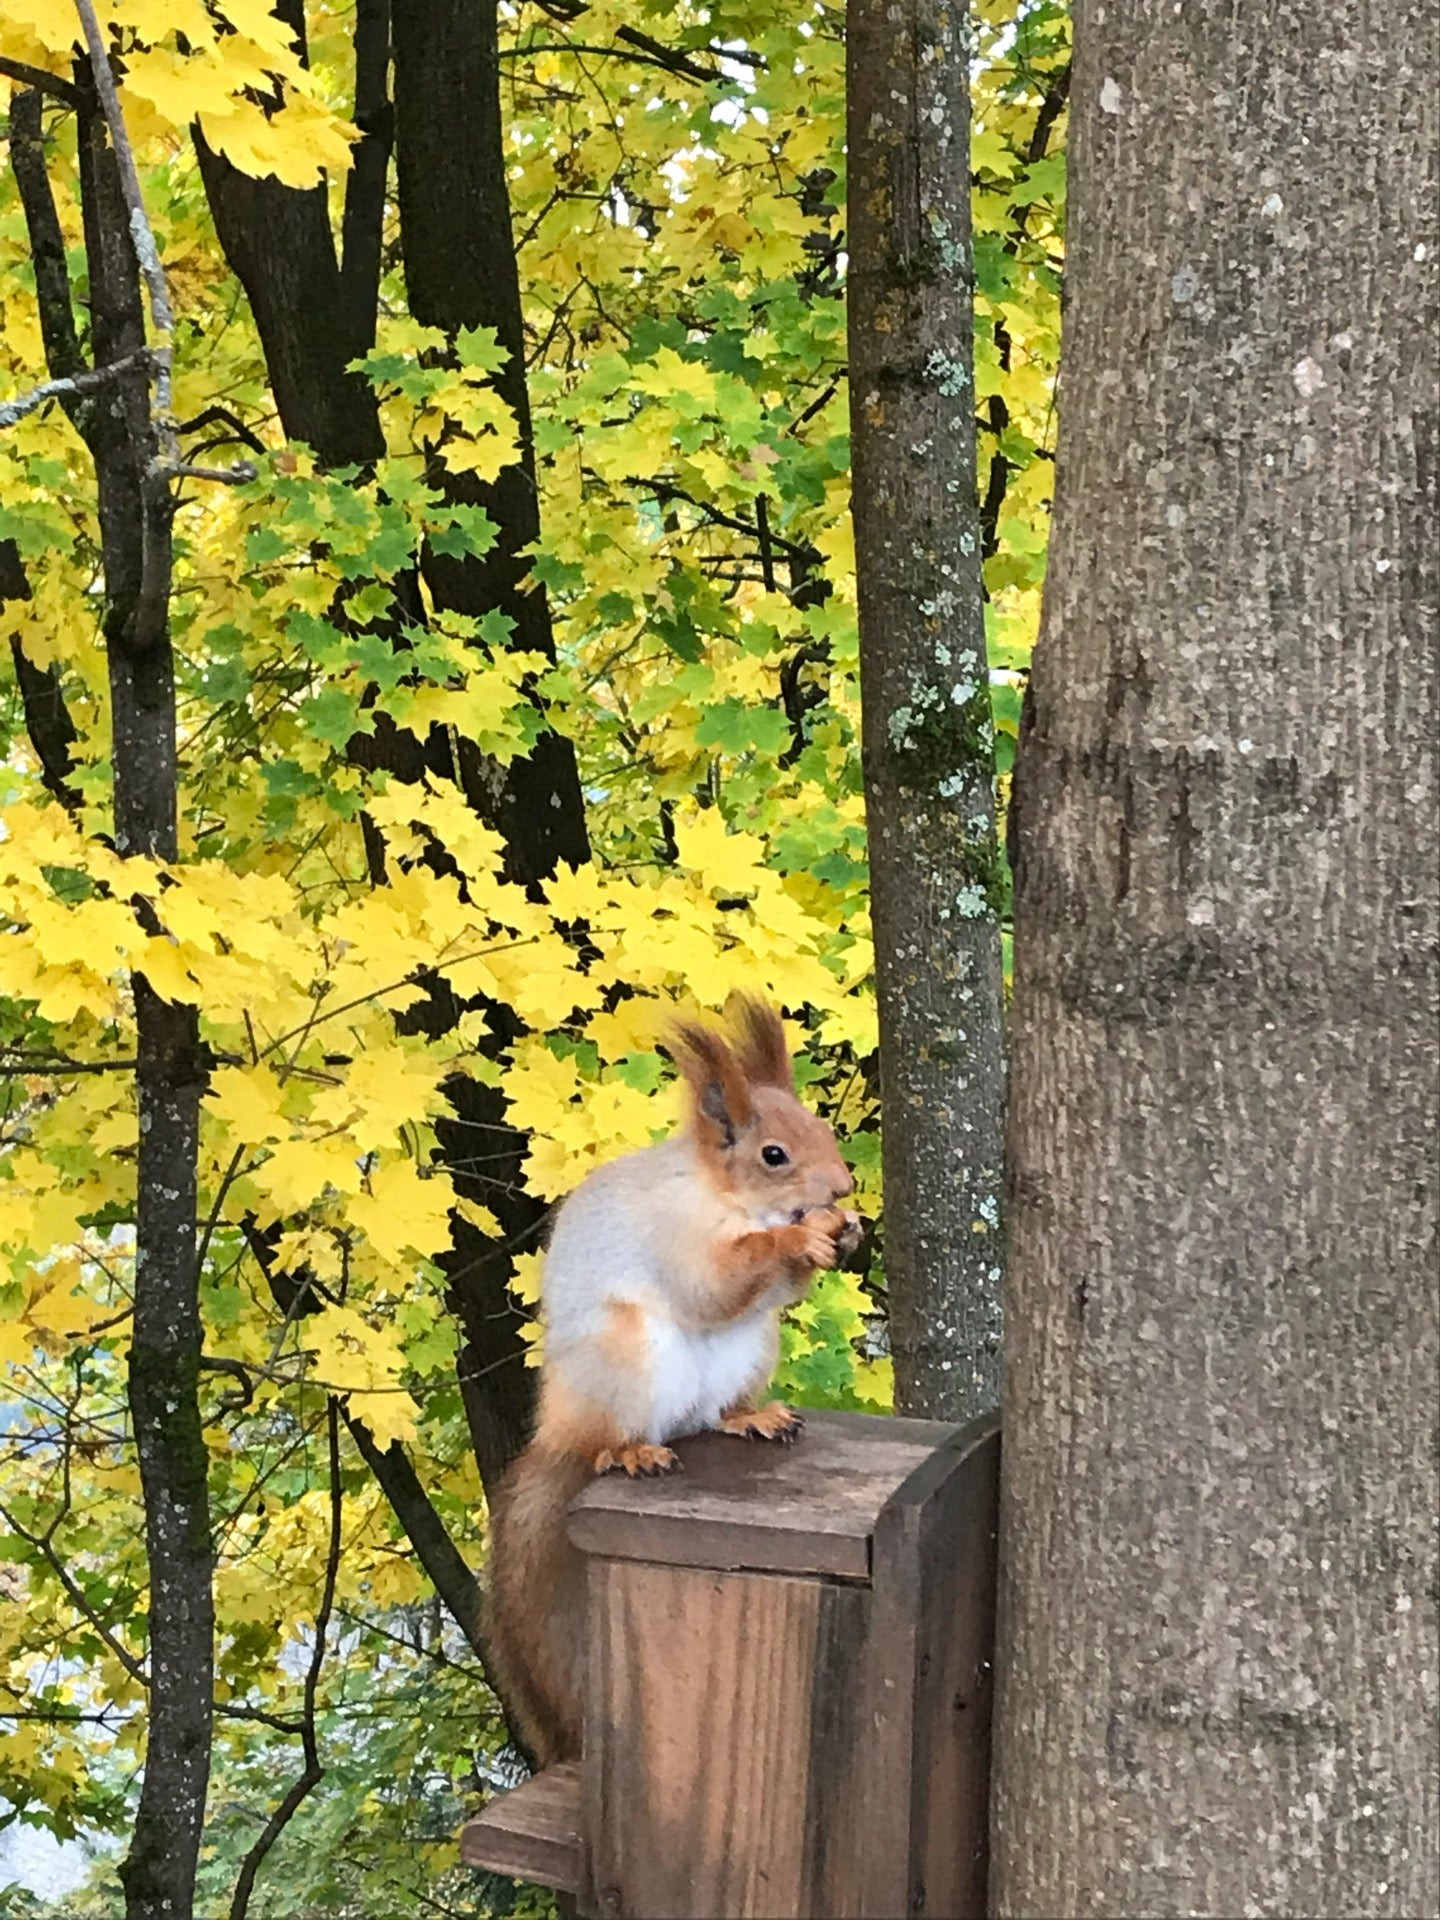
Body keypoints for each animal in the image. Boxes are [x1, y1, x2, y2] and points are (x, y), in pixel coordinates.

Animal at [491, 998, 864, 1758]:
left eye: (823, 1129)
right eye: (773, 1155)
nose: (843, 1188)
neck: (728, 1201)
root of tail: (558, 1432)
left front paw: (846, 1233)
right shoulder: (675, 1237)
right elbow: (712, 1285)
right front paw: (798, 1237)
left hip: (752, 1351)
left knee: (710, 1415)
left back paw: (752, 1417)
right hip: (626, 1359)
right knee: (610, 1440)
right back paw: (633, 1451)